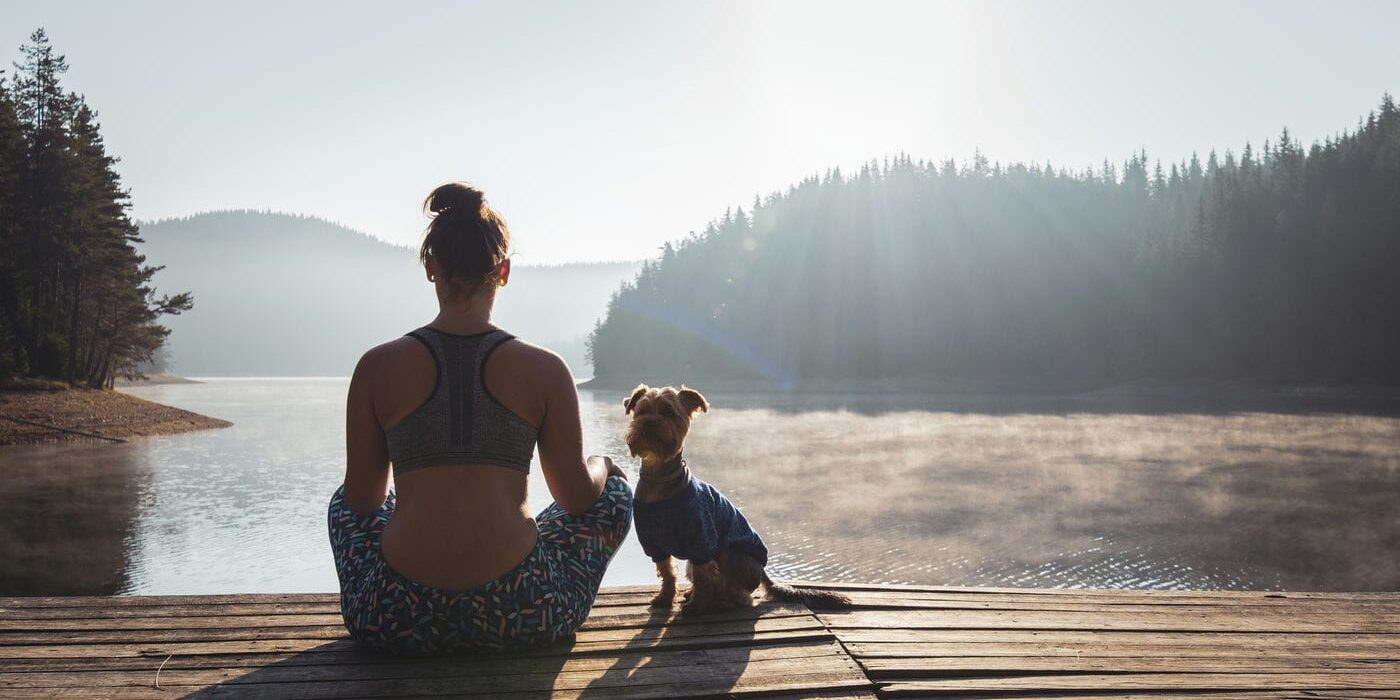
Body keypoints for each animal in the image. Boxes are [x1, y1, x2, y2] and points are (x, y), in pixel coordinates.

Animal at [627, 383, 851, 618]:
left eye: (668, 412)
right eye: (641, 412)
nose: (648, 423)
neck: (660, 481)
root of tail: (763, 571)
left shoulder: (703, 542)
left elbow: (703, 578)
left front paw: (696, 607)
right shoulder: (654, 545)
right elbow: (668, 573)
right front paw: (665, 599)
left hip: (730, 553)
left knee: (740, 595)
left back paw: (719, 603)